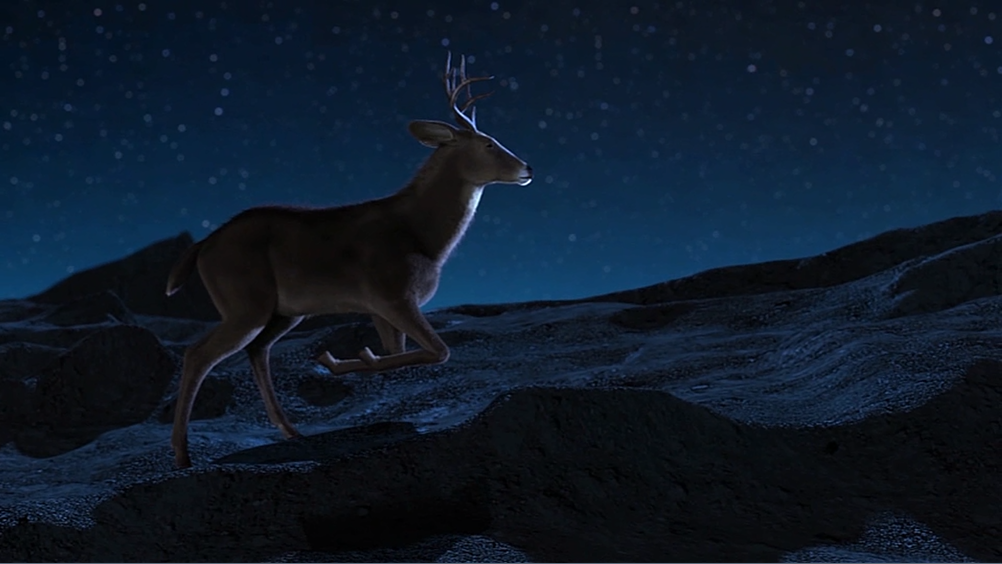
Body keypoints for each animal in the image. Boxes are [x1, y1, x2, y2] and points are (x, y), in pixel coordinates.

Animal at [163, 53, 532, 469]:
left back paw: (292, 431)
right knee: (198, 353)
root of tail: (203, 245)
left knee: (256, 350)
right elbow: (439, 351)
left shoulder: (380, 307)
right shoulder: (392, 294)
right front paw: (339, 359)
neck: (424, 237)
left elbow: (401, 352)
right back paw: (183, 455)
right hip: (245, 302)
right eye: (488, 143)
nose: (527, 169)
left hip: (284, 311)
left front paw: (345, 359)